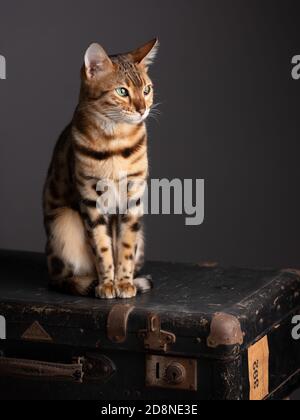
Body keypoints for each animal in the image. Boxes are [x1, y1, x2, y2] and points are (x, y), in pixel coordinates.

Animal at [43, 38, 159, 298]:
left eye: (146, 90)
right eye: (122, 91)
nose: (142, 109)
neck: (116, 143)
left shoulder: (132, 199)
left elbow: (124, 246)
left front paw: (123, 283)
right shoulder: (90, 199)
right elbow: (102, 247)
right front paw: (107, 284)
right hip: (63, 222)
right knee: (64, 277)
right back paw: (89, 281)